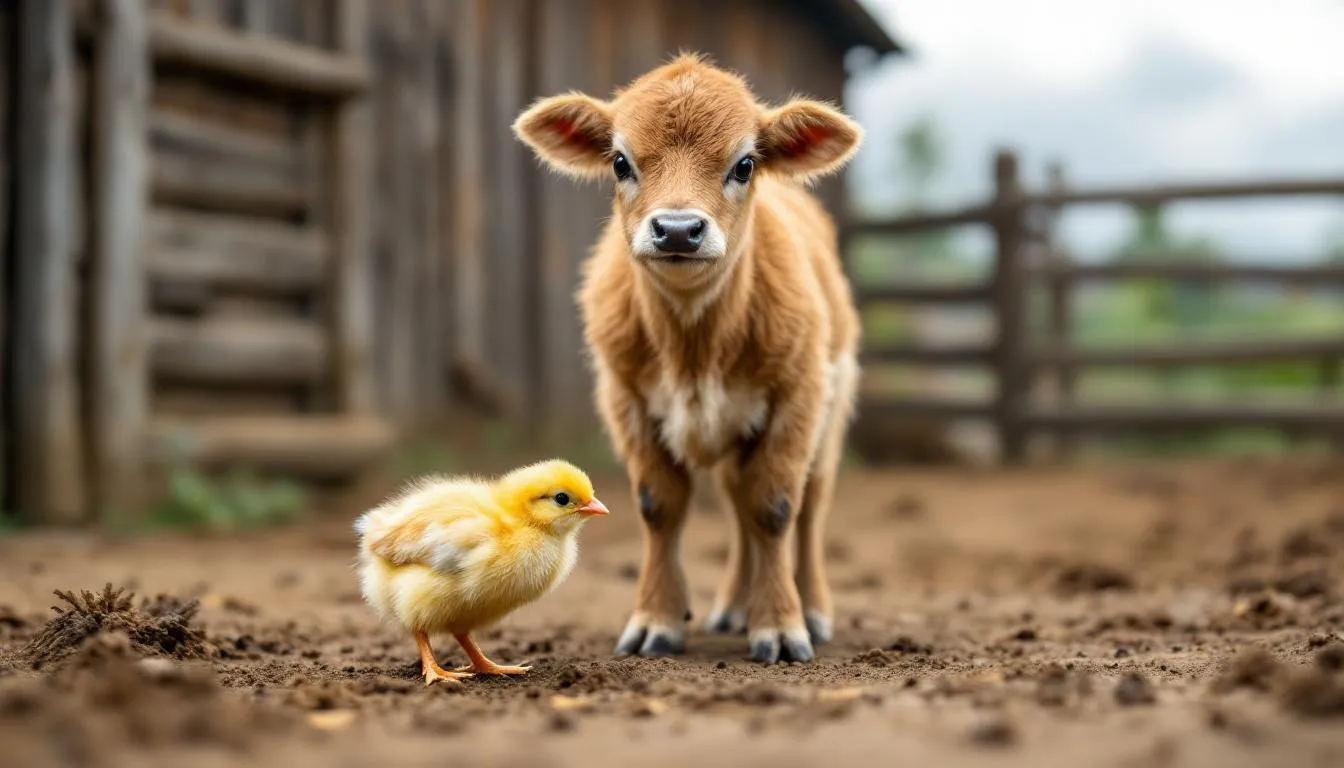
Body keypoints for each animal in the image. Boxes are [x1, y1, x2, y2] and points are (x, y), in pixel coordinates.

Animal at [513, 53, 862, 664]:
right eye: (620, 162)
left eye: (745, 164)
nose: (678, 229)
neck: (693, 345)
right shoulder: (626, 398)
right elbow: (661, 506)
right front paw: (657, 619)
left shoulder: (797, 397)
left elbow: (775, 508)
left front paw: (781, 623)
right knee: (738, 507)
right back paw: (734, 607)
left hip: (830, 413)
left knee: (809, 506)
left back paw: (813, 608)